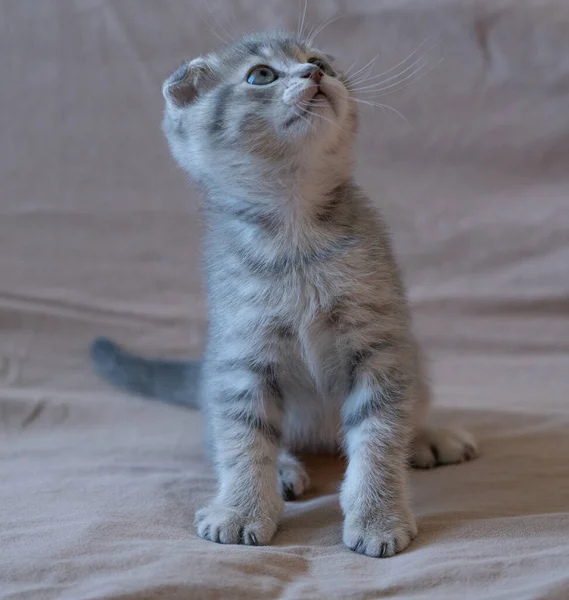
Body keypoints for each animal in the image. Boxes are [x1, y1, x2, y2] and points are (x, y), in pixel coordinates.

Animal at [91, 31, 478, 556]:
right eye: (261, 75)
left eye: (318, 62)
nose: (314, 74)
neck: (296, 233)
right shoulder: (241, 355)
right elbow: (243, 439)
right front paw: (240, 509)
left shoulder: (380, 344)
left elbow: (380, 434)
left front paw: (377, 515)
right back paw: (282, 469)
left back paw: (427, 437)